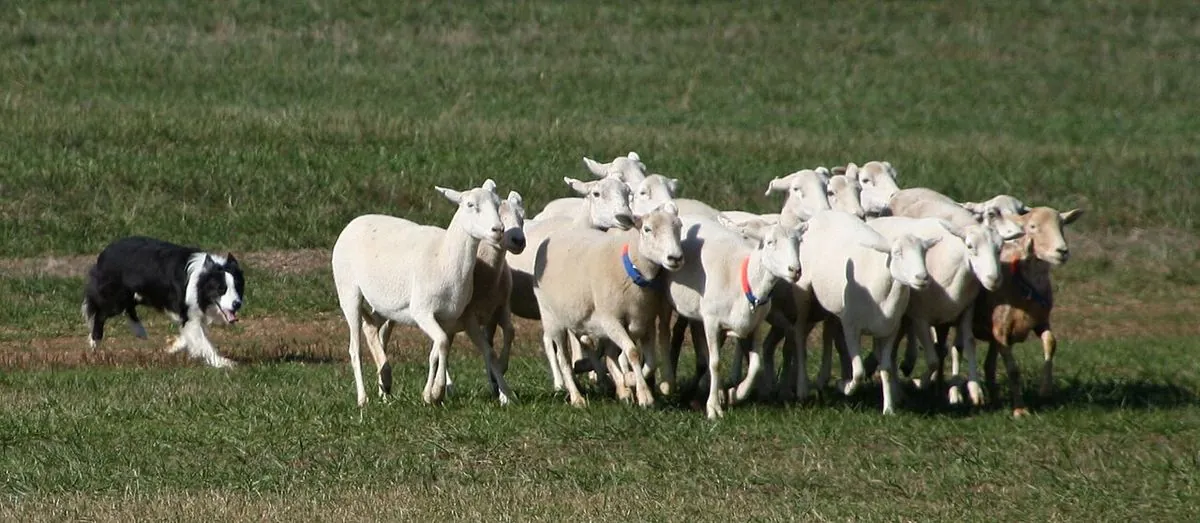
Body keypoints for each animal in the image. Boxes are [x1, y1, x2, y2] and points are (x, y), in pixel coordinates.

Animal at [331, 179, 506, 407]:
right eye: (470, 205)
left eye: (498, 204)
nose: (498, 229)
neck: (445, 256)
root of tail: (352, 222)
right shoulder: (422, 311)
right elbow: (442, 343)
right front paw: (436, 392)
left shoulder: (450, 317)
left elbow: (441, 349)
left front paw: (431, 394)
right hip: (348, 291)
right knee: (355, 348)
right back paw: (363, 398)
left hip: (387, 305)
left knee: (370, 327)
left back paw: (385, 382)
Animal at [533, 201, 685, 407]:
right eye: (647, 229)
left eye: (679, 227)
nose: (675, 258)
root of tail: (556, 234)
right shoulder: (611, 319)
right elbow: (632, 352)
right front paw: (644, 395)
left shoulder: (645, 321)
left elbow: (650, 361)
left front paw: (630, 380)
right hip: (552, 318)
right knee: (564, 360)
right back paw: (577, 397)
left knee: (605, 353)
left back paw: (619, 387)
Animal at [658, 215, 802, 418]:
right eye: (770, 242)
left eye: (798, 242)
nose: (795, 270)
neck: (744, 281)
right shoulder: (711, 322)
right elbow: (715, 363)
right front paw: (713, 408)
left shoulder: (754, 325)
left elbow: (755, 364)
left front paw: (736, 394)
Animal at [797, 210, 939, 414]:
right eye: (897, 253)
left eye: (924, 252)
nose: (923, 278)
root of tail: (822, 213)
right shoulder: (851, 328)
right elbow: (858, 371)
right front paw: (845, 387)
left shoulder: (889, 330)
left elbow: (886, 370)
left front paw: (888, 409)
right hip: (803, 291)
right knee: (799, 335)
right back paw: (802, 388)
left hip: (834, 305)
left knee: (828, 332)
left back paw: (822, 379)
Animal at [973, 206, 1083, 417]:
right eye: (1032, 226)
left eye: (1062, 224)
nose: (1062, 251)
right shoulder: (1001, 330)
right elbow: (1013, 370)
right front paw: (1020, 409)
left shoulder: (1040, 321)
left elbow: (1051, 343)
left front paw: (1045, 389)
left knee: (988, 366)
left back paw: (994, 400)